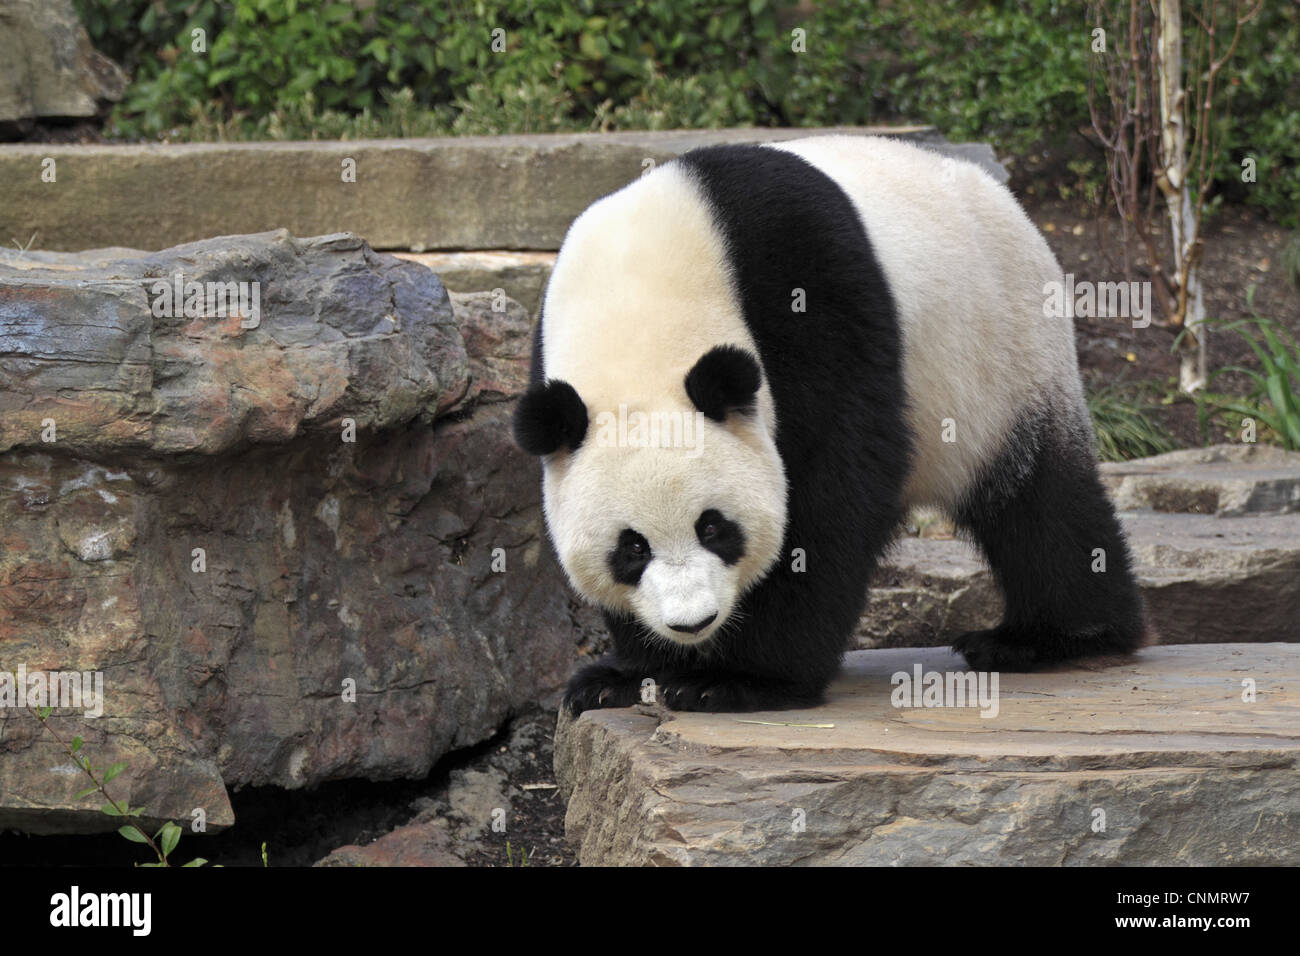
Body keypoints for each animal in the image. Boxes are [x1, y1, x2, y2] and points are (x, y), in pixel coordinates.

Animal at [514, 135, 1148, 715]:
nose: (693, 622)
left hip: (1004, 358)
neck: (639, 305)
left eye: (714, 527)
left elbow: (833, 482)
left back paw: (1053, 638)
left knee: (1038, 502)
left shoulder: (808, 289)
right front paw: (627, 674)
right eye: (631, 548)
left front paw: (740, 680)